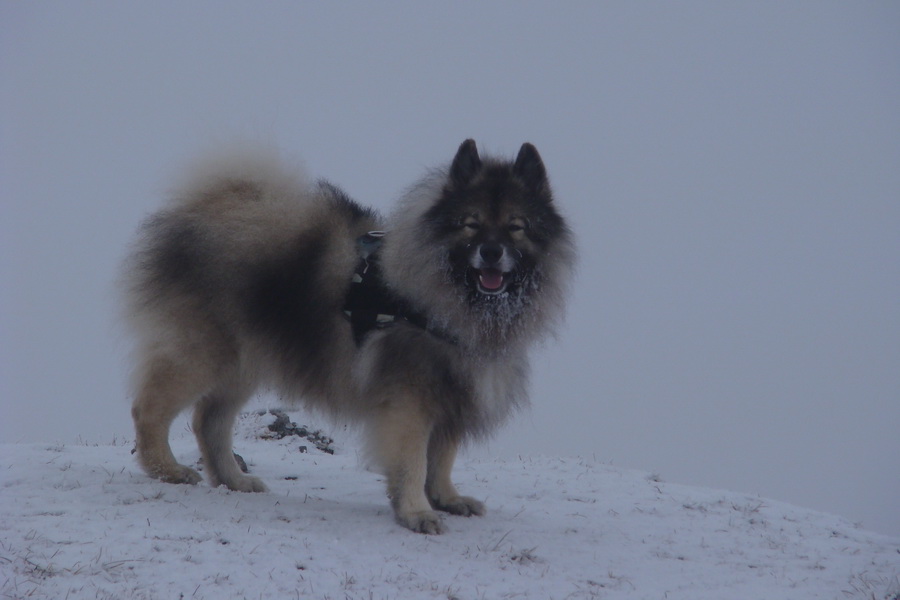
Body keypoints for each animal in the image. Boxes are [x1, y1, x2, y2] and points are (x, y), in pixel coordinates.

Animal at [121, 141, 576, 536]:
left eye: (517, 227)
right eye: (471, 224)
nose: (492, 252)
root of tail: (204, 208)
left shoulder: (451, 393)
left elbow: (443, 458)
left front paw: (447, 498)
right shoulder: (409, 400)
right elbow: (414, 461)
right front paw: (416, 512)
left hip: (243, 362)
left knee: (209, 421)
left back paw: (234, 480)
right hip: (203, 355)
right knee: (150, 410)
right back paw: (167, 469)